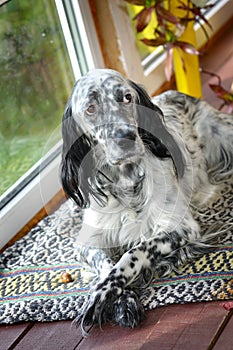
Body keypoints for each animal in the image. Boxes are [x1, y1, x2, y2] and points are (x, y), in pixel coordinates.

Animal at [60, 67, 233, 334]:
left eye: (126, 97)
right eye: (90, 108)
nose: (126, 137)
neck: (125, 182)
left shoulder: (180, 226)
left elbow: (134, 252)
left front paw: (104, 295)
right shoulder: (87, 241)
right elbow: (105, 264)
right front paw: (121, 301)